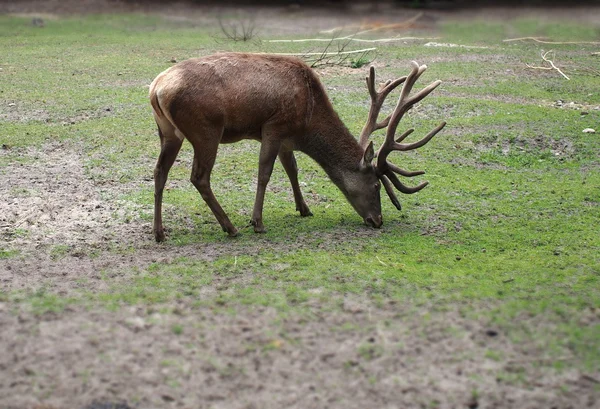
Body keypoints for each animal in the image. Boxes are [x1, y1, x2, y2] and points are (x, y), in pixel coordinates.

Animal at [148, 52, 442, 241]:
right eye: (377, 184)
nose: (378, 220)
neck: (307, 123)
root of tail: (156, 88)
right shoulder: (274, 126)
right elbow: (265, 173)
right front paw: (257, 222)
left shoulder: (286, 138)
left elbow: (292, 169)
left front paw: (304, 208)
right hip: (206, 130)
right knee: (199, 177)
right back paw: (230, 227)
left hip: (168, 132)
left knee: (159, 171)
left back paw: (159, 232)